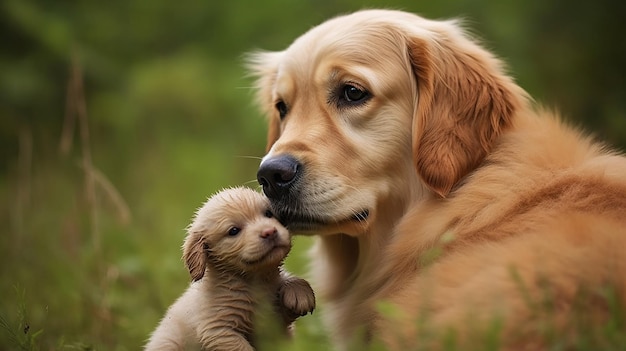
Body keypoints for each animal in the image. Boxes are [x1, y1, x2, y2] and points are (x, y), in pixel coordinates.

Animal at [144, 188, 314, 351]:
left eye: (268, 214)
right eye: (233, 231)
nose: (270, 232)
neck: (255, 282)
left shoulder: (273, 325)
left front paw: (299, 292)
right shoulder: (218, 331)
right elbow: (241, 347)